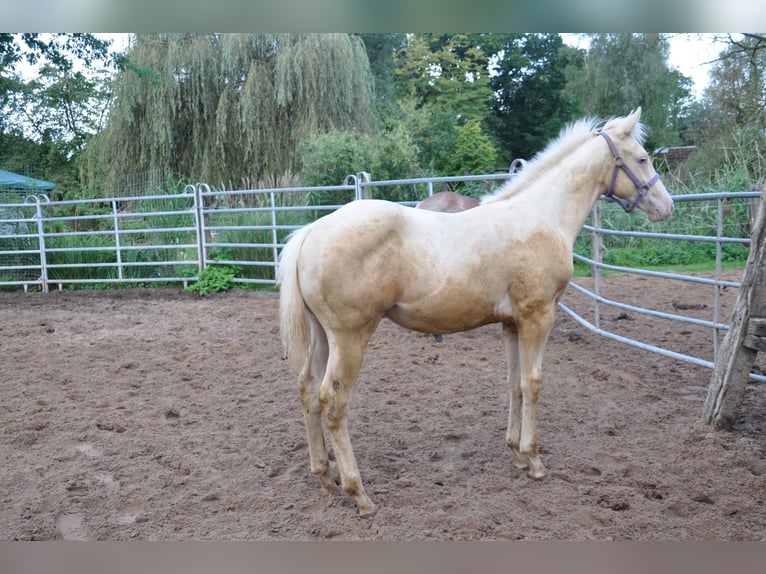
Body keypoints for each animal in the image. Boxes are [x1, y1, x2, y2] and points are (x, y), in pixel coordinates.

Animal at [277, 108, 674, 517]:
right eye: (642, 159)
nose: (667, 207)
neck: (541, 216)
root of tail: (311, 232)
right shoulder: (538, 317)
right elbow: (533, 383)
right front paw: (534, 460)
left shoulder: (512, 324)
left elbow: (514, 383)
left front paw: (516, 454)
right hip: (350, 338)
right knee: (333, 402)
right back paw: (359, 494)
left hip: (323, 336)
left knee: (308, 390)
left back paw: (325, 477)